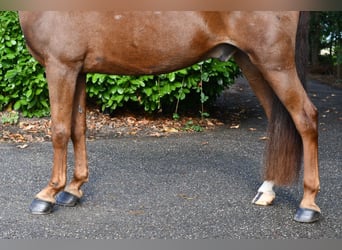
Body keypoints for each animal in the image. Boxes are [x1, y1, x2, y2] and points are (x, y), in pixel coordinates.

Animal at [18, 11, 320, 223]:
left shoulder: (61, 65)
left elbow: (58, 130)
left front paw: (48, 195)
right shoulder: (77, 69)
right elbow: (77, 128)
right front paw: (73, 189)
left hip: (274, 63)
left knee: (306, 119)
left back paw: (308, 205)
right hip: (253, 62)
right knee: (278, 119)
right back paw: (267, 191)